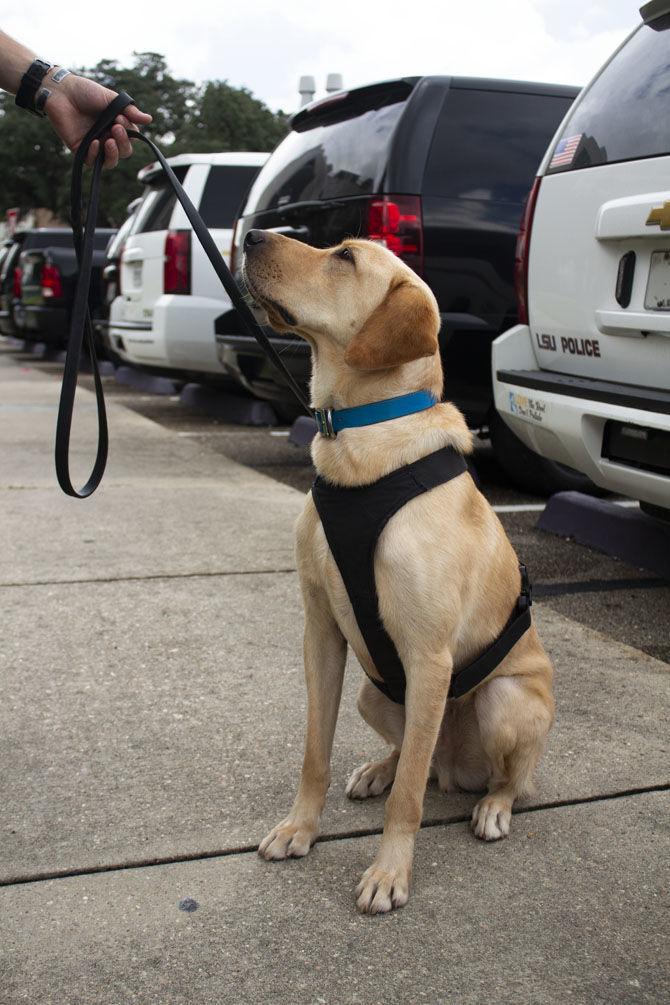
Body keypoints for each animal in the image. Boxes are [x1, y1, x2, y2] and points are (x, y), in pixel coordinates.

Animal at [244, 231, 554, 916]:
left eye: (344, 257)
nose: (248, 234)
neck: (357, 439)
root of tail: (457, 768)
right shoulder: (321, 633)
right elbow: (315, 753)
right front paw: (301, 828)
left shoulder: (430, 655)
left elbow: (408, 801)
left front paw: (390, 874)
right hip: (376, 692)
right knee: (415, 755)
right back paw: (378, 768)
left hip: (502, 700)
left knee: (503, 777)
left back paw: (492, 806)